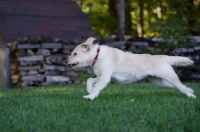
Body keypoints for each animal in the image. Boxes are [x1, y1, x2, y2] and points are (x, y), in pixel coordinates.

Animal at [63, 37, 195, 100]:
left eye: (75, 54)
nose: (65, 61)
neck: (97, 56)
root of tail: (161, 57)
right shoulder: (102, 76)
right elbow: (89, 80)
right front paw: (90, 90)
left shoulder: (105, 77)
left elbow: (97, 87)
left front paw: (90, 97)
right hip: (160, 81)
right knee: (178, 86)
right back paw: (192, 90)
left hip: (169, 77)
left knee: (182, 87)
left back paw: (192, 96)